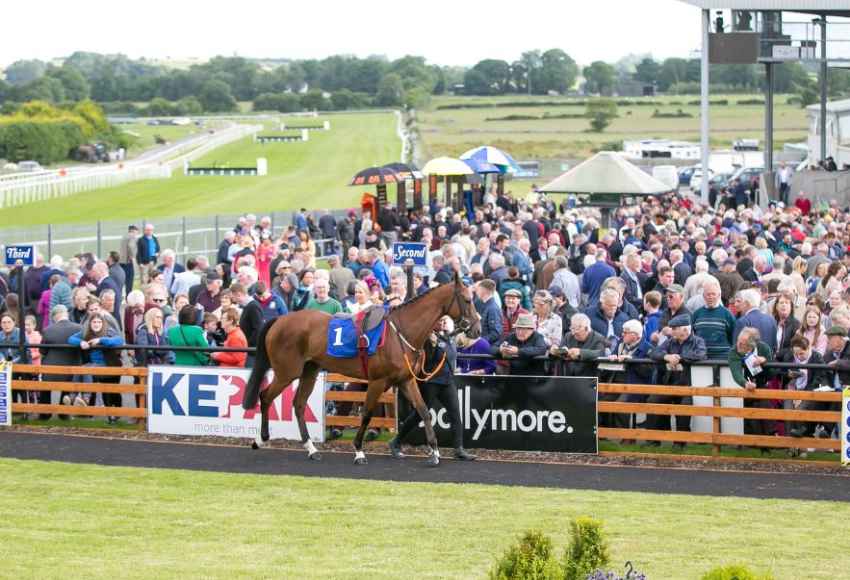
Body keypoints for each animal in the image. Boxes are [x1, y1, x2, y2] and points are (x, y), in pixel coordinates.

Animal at [242, 274, 480, 468]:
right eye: (467, 300)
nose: (477, 329)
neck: (401, 332)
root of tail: (280, 320)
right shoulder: (377, 381)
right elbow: (366, 414)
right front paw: (358, 451)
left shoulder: (406, 380)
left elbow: (423, 411)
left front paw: (435, 452)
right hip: (286, 372)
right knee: (266, 396)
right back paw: (261, 438)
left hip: (310, 370)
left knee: (299, 404)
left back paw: (311, 449)